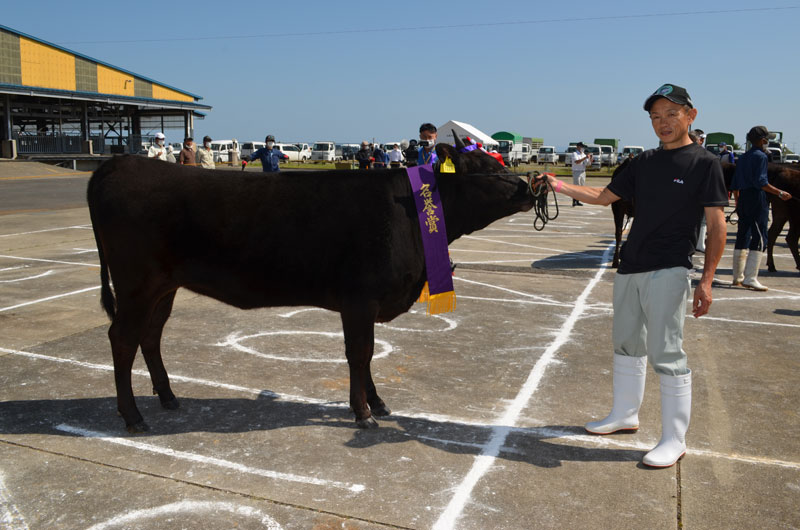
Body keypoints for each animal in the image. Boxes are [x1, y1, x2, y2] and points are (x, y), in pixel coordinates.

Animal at [87, 142, 536, 432]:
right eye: (489, 168)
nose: (530, 187)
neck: (410, 211)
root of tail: (117, 164)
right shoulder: (360, 298)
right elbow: (360, 354)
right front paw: (364, 412)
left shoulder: (364, 304)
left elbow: (365, 357)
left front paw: (376, 404)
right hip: (137, 284)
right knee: (122, 339)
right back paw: (133, 416)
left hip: (165, 287)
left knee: (150, 335)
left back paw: (167, 397)